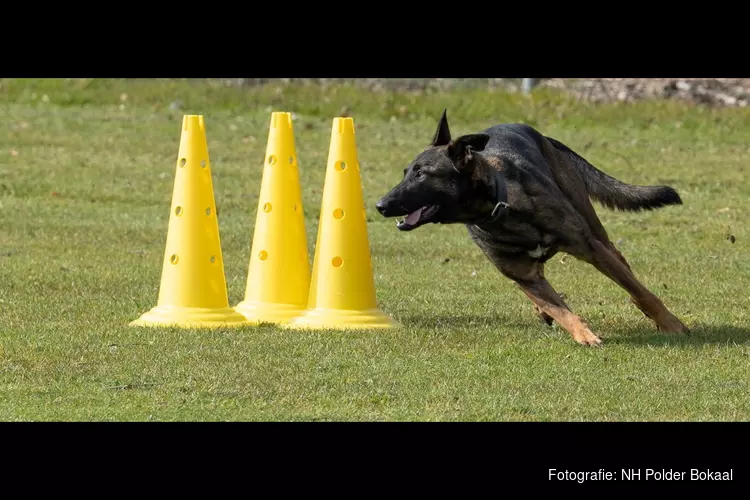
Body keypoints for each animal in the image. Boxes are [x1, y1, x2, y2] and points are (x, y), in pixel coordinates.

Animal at [378, 110, 692, 346]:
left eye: (421, 174)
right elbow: (561, 310)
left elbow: (642, 293)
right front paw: (584, 334)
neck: (501, 208)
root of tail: (541, 136)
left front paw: (672, 324)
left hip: (591, 224)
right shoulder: (524, 277)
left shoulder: (590, 249)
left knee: (619, 259)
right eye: (406, 173)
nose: (381, 205)